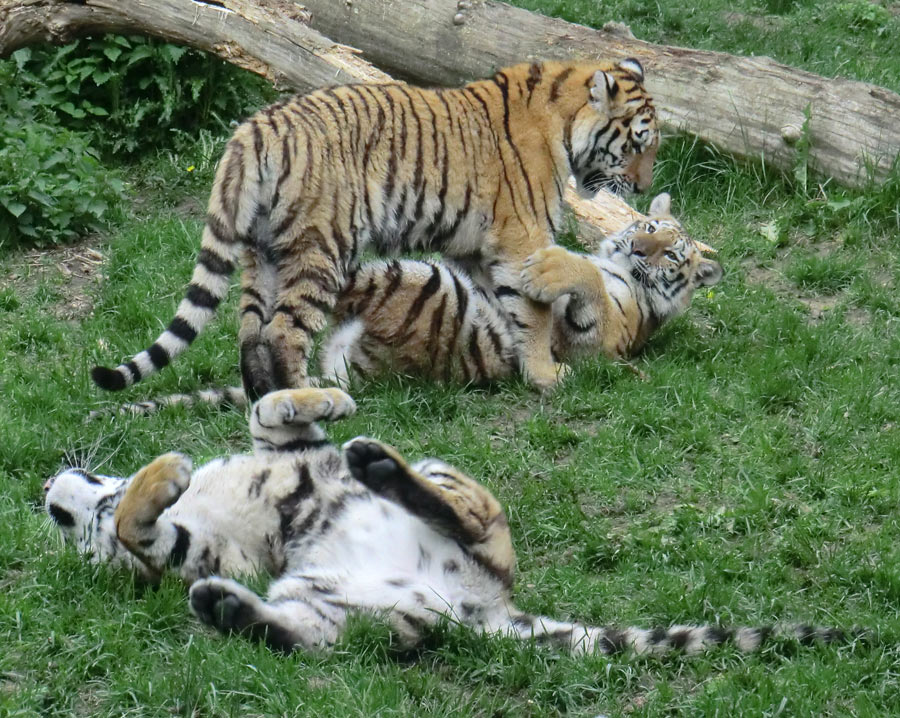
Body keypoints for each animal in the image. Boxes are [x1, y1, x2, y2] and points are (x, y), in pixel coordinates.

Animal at [45, 388, 860, 660]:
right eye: (70, 532)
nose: (50, 494)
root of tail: (482, 608)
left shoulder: (281, 454)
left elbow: (269, 411)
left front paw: (326, 394)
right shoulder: (186, 552)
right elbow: (141, 530)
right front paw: (160, 477)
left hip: (444, 476)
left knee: (462, 510)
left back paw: (374, 461)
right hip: (332, 605)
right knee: (302, 638)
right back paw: (222, 604)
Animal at [320, 191, 720, 388]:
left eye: (670, 254)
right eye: (650, 228)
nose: (637, 247)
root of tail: (360, 366)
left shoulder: (593, 343)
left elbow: (588, 276)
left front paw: (548, 267)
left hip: (426, 283)